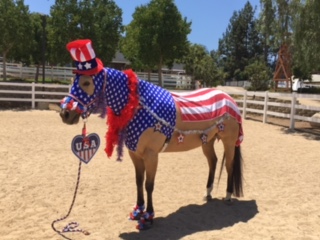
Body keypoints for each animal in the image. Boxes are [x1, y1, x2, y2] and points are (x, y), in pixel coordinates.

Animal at [60, 39, 244, 231]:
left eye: (86, 83)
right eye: (73, 81)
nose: (65, 113)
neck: (140, 106)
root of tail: (230, 99)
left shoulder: (151, 155)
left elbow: (149, 185)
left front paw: (148, 217)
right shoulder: (135, 154)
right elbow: (138, 181)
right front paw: (138, 211)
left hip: (229, 142)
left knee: (229, 165)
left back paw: (228, 196)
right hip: (207, 142)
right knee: (213, 162)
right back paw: (207, 193)